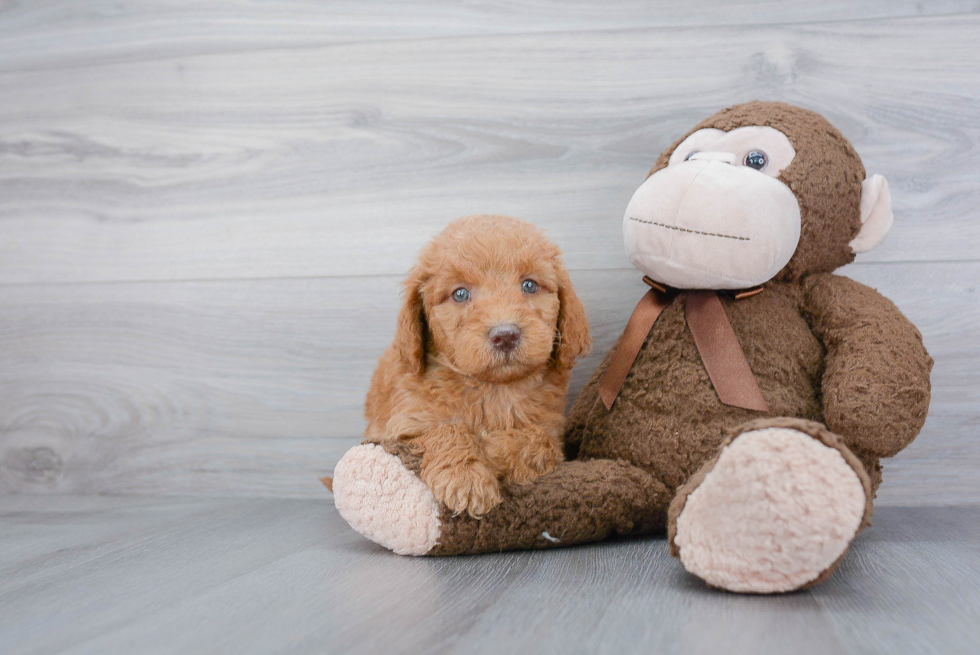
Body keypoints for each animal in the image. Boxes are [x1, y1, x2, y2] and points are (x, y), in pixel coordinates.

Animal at [362, 215, 584, 516]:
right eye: (460, 294)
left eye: (529, 285)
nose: (505, 335)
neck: (492, 390)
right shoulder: (402, 427)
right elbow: (445, 430)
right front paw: (465, 479)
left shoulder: (552, 427)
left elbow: (539, 440)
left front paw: (494, 449)